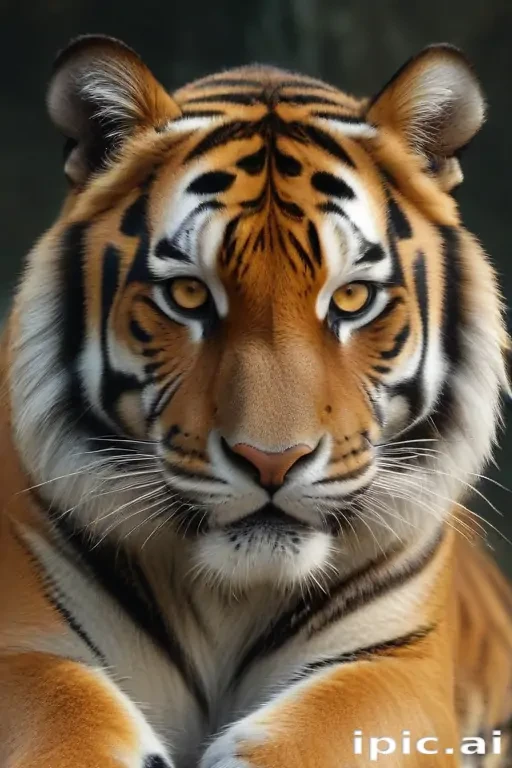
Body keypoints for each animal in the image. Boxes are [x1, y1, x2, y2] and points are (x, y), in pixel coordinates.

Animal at [0, 32, 511, 768]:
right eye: (188, 295)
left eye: (352, 298)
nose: (272, 462)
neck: (230, 596)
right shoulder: (24, 645)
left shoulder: (396, 665)